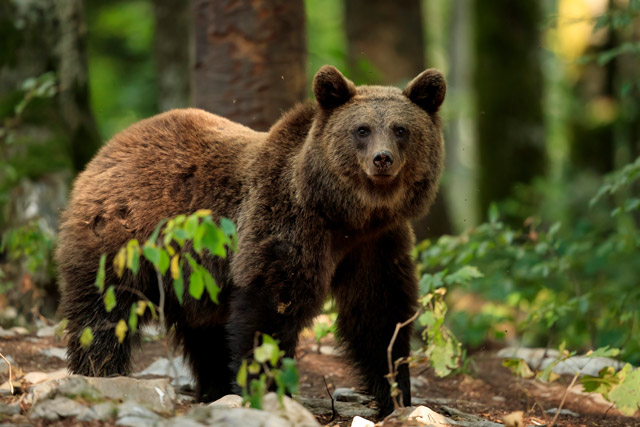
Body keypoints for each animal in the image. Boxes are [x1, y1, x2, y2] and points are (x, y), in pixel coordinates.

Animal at [55, 65, 446, 416]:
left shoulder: (377, 243)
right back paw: (100, 370)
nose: (382, 159)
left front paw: (396, 394)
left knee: (206, 334)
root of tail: (110, 148)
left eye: (401, 129)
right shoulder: (285, 223)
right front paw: (266, 388)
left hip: (196, 280)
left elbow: (379, 315)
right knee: (104, 311)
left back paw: (214, 387)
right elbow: (270, 306)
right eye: (361, 129)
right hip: (124, 240)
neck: (344, 215)